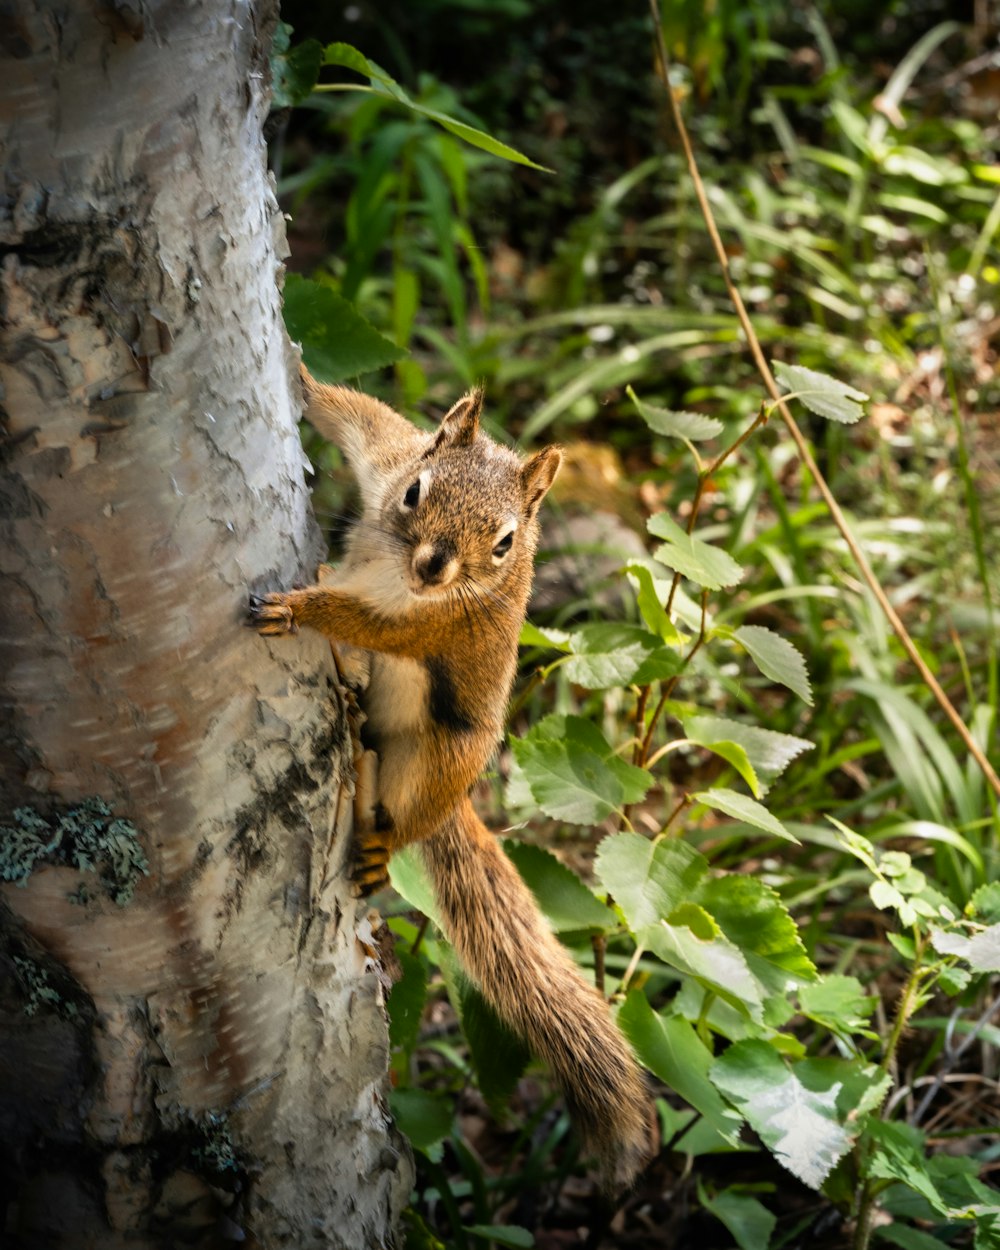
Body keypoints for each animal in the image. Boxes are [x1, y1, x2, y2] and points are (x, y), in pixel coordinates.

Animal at [252, 365, 650, 1185]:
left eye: (504, 543)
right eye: (414, 492)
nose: (435, 566)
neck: (399, 569)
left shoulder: (437, 623)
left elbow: (361, 618)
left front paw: (302, 606)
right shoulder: (386, 453)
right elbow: (353, 413)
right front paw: (301, 376)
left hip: (438, 761)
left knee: (408, 815)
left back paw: (385, 838)